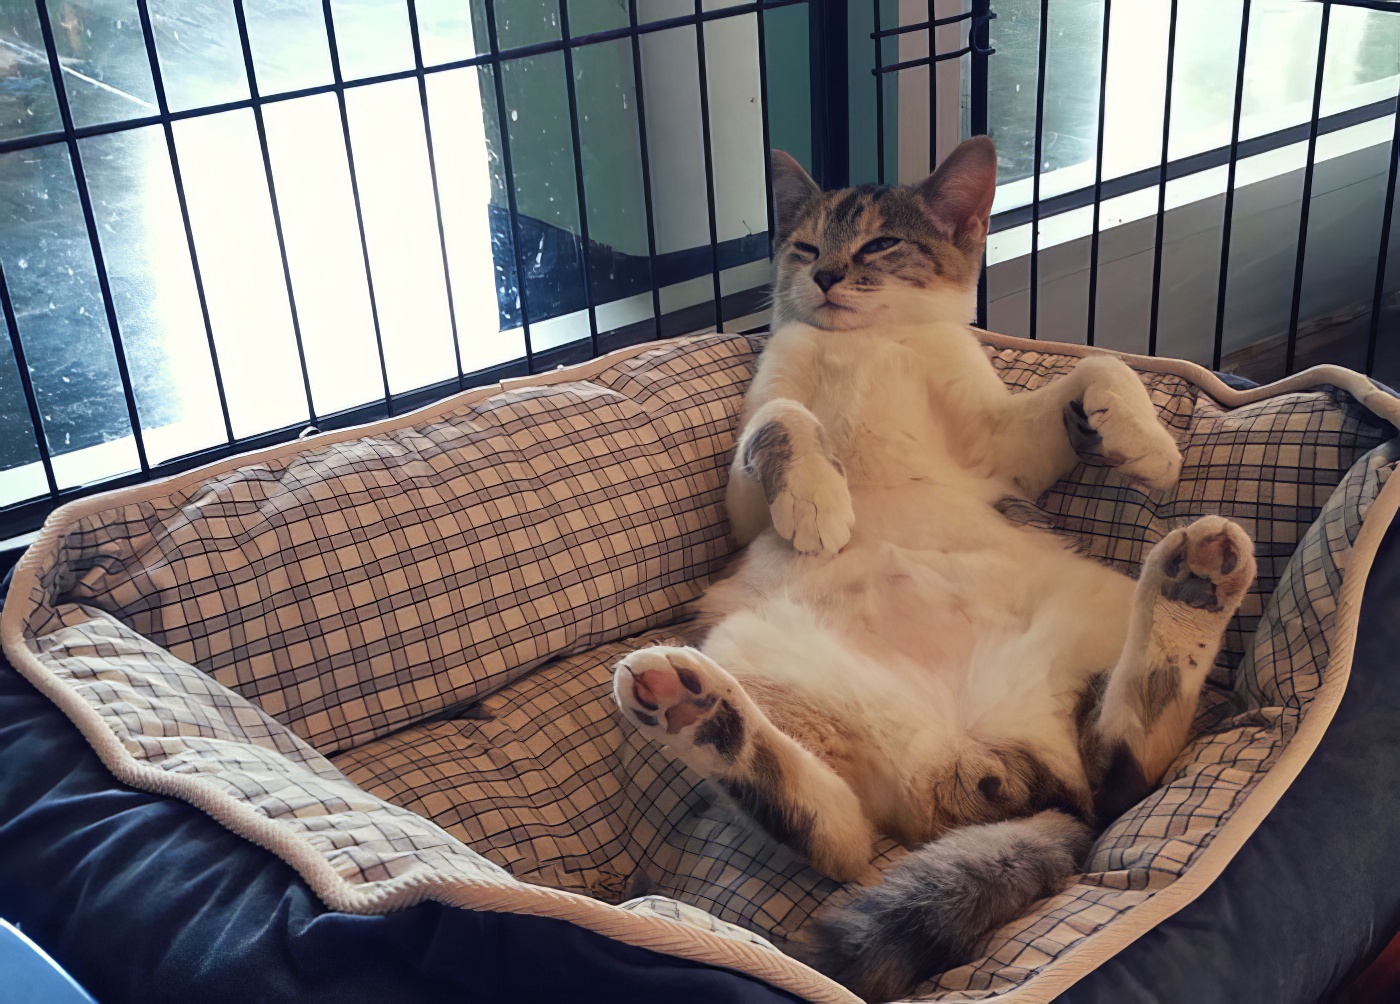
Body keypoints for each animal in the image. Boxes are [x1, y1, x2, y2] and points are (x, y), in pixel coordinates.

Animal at [611, 137, 1255, 1002]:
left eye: (880, 244)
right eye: (804, 246)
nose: (826, 276)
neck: (868, 341)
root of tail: (969, 759)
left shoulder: (1000, 449)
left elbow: (1101, 366)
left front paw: (1145, 444)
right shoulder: (745, 497)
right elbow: (783, 417)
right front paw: (817, 500)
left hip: (1095, 609)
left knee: (1121, 776)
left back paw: (1194, 590)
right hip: (757, 657)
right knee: (847, 835)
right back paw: (702, 718)